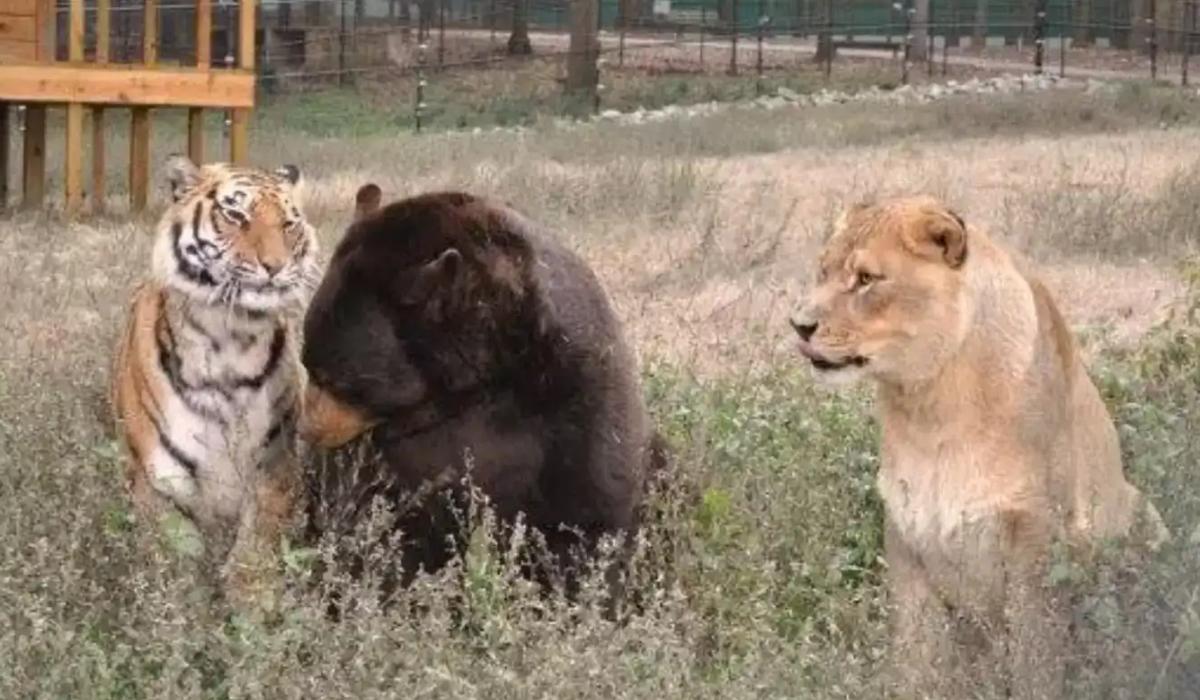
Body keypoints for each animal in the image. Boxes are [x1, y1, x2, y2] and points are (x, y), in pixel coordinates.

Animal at [110, 154, 320, 606]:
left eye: (288, 224)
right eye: (236, 215)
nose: (275, 267)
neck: (230, 339)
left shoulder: (273, 469)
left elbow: (252, 556)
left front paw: (253, 611)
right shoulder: (161, 484)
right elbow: (175, 571)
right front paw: (177, 617)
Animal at [788, 195, 1168, 699]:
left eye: (866, 279)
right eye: (823, 271)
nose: (799, 326)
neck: (930, 409)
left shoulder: (1035, 541)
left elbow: (1035, 662)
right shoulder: (906, 541)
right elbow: (916, 661)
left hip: (1144, 516)